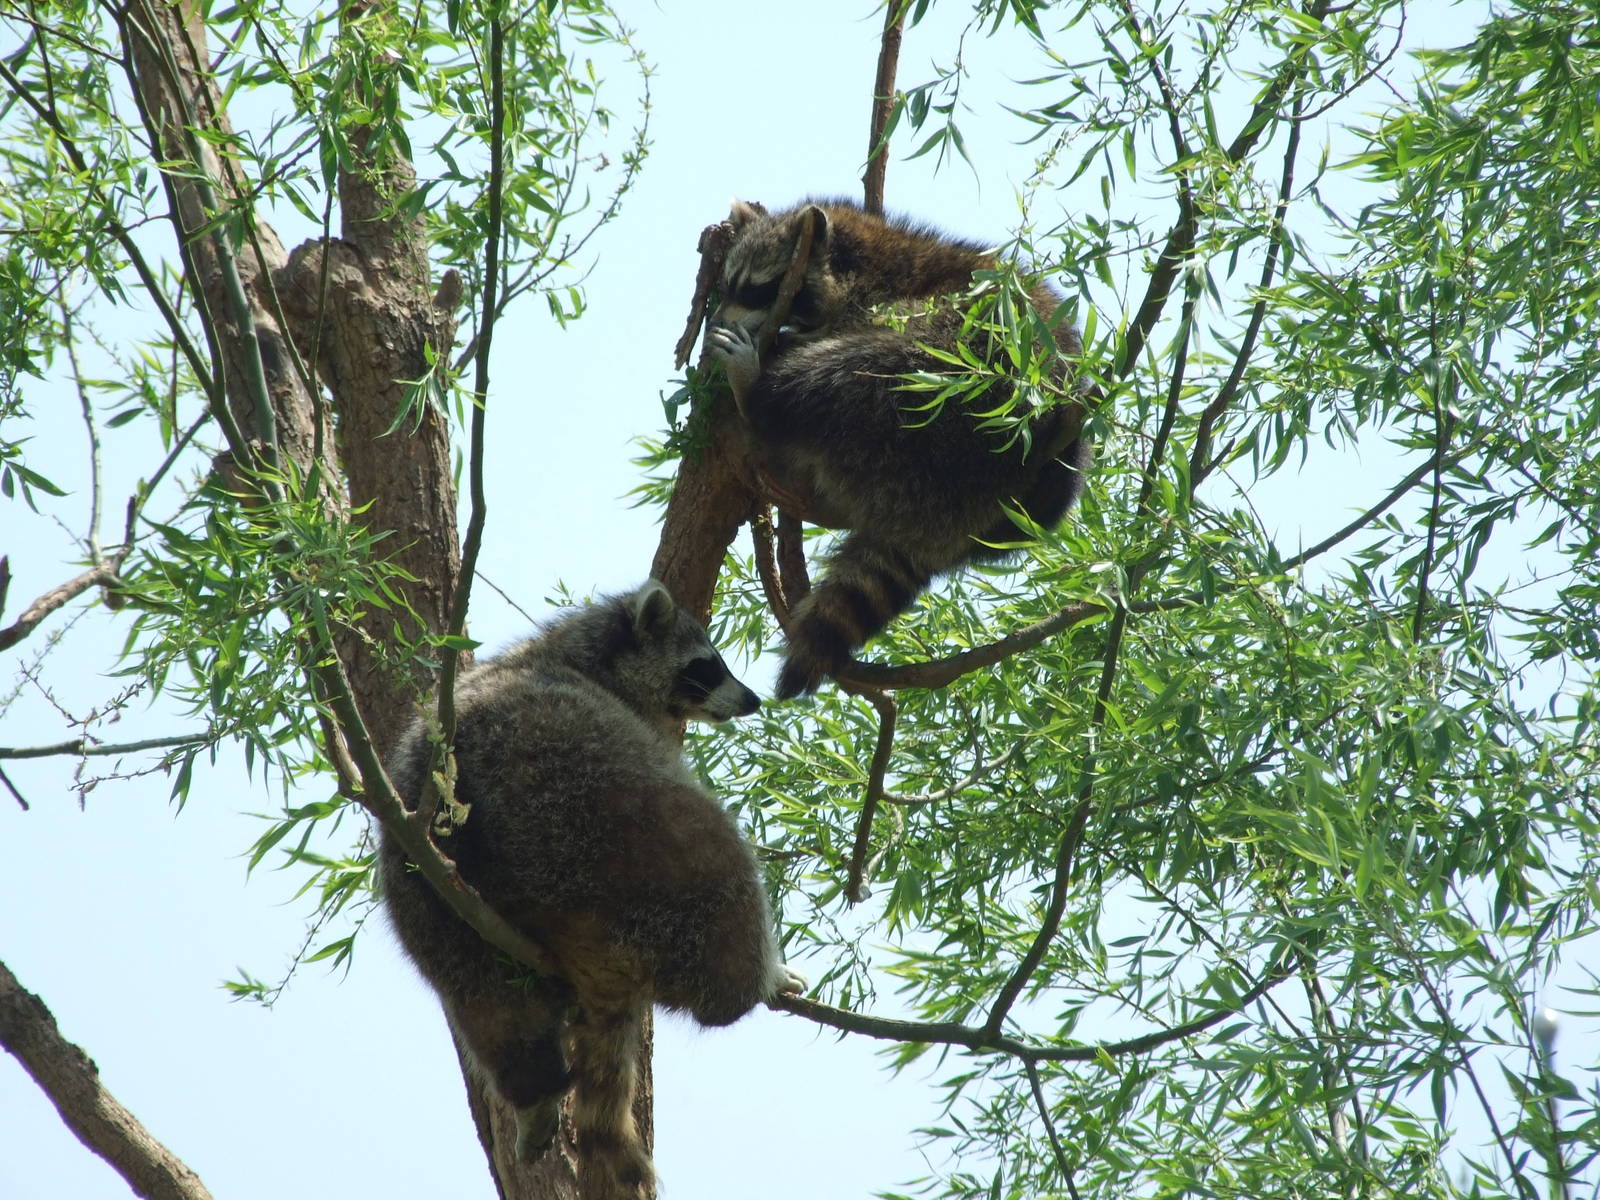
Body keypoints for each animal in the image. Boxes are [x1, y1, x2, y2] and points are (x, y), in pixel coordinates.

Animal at [379, 580, 803, 1199]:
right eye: (707, 666)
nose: (751, 700)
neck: (570, 651)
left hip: (433, 908)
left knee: (488, 1003)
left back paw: (531, 1089)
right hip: (622, 846)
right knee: (719, 858)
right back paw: (756, 976)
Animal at [705, 198, 1087, 699]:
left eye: (757, 289)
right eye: (728, 285)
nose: (716, 323)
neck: (871, 256)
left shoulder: (888, 305)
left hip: (949, 396)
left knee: (847, 371)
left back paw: (757, 393)